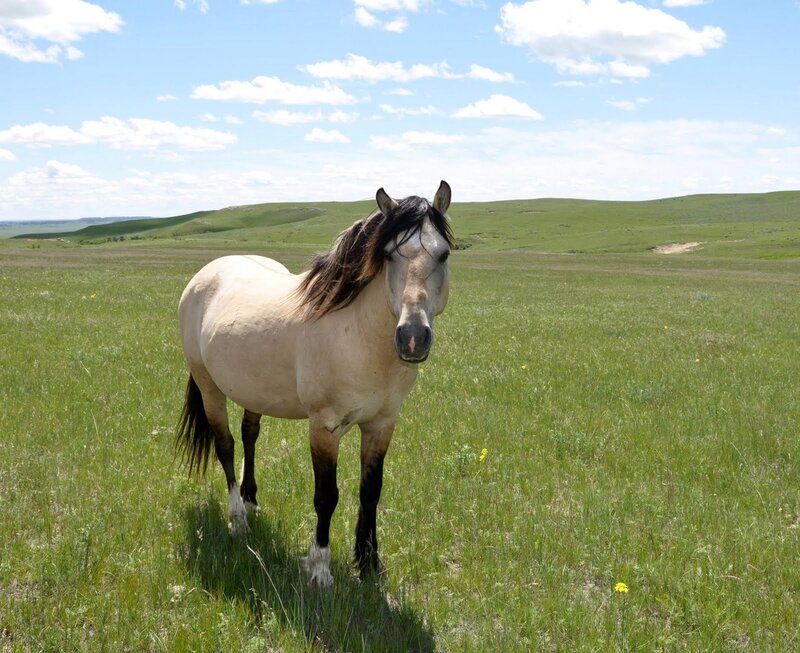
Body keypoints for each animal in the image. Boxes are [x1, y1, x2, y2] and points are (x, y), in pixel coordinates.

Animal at [175, 181, 453, 586]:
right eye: (388, 255)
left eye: (444, 254)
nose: (413, 338)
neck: (359, 336)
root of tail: (206, 273)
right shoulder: (324, 427)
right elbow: (326, 496)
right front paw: (320, 567)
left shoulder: (381, 425)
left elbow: (371, 491)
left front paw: (368, 563)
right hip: (209, 386)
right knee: (226, 447)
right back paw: (238, 520)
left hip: (252, 391)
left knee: (249, 436)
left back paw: (251, 500)